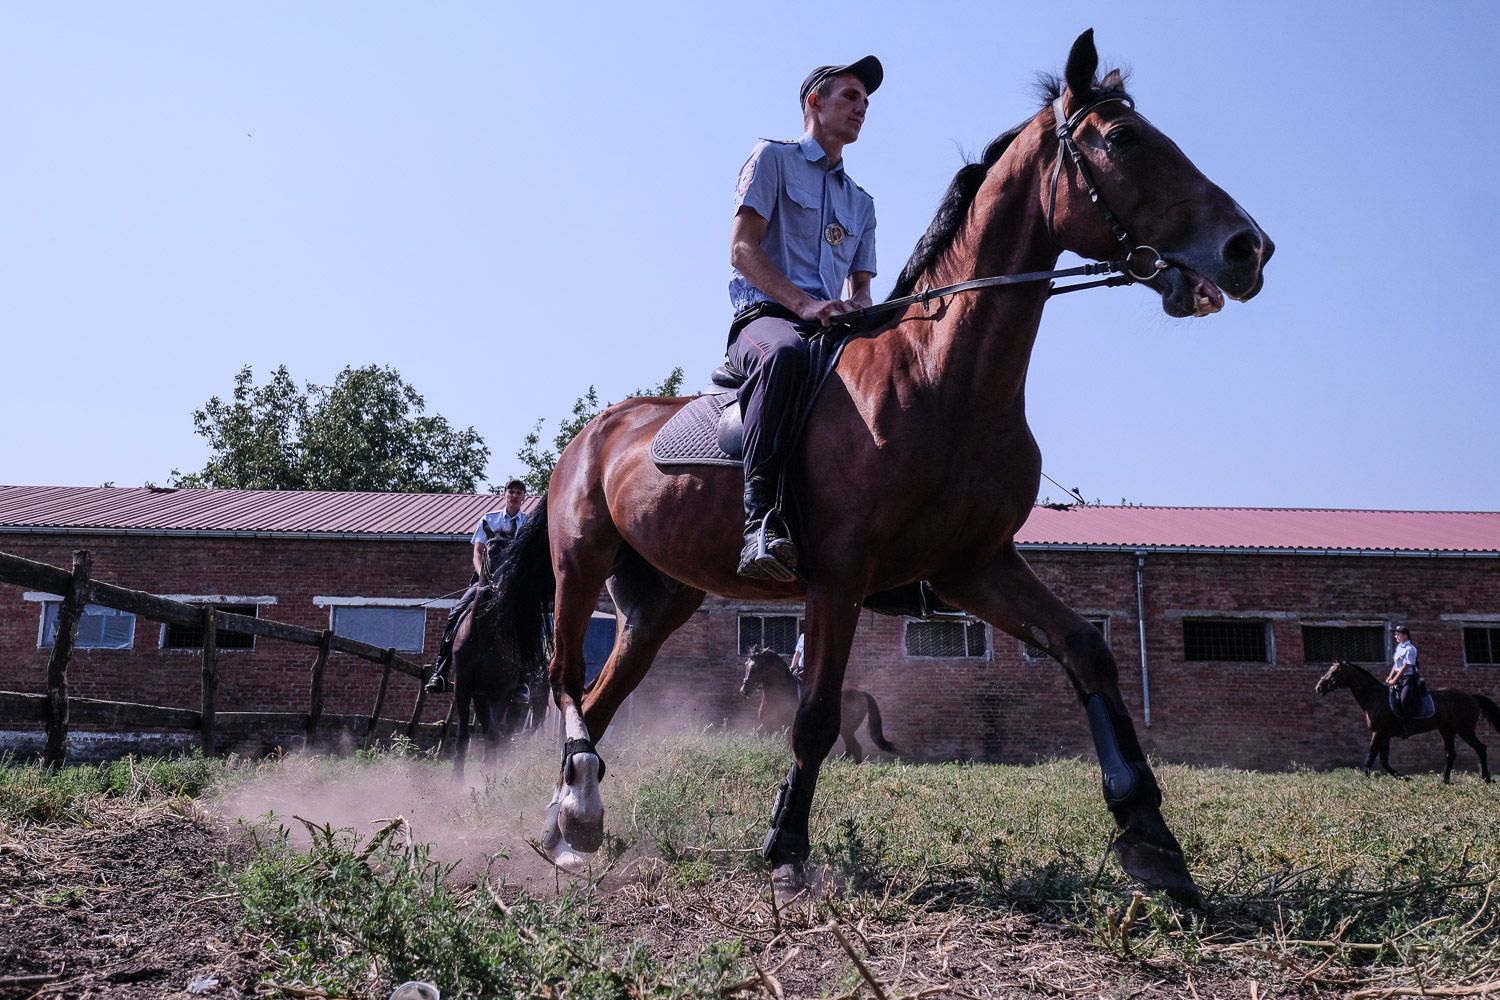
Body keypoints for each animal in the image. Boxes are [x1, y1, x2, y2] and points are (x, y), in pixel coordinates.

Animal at [738, 644, 888, 761]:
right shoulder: (767, 727)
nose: (744, 690)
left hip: (847, 729)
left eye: (757, 667)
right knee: (852, 749)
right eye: (746, 665)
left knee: (854, 748)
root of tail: (861, 694)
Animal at [1314, 659, 1500, 785]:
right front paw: (1405, 778)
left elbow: (1370, 756)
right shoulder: (1384, 735)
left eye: (1335, 672)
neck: (1375, 698)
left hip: (1464, 729)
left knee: (1481, 748)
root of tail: (1471, 696)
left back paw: (1486, 778)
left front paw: (1364, 780)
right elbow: (1384, 761)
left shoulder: (1379, 732)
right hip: (1446, 729)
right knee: (1450, 753)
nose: (1319, 687)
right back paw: (1444, 780)